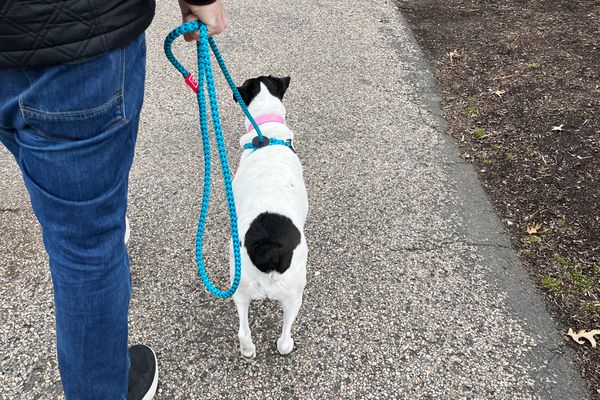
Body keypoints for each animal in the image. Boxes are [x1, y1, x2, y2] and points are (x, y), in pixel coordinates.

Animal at [231, 75, 310, 356]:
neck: (265, 132)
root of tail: (268, 248)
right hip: (294, 294)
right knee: (285, 339)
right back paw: (285, 344)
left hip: (240, 289)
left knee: (243, 333)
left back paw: (248, 351)